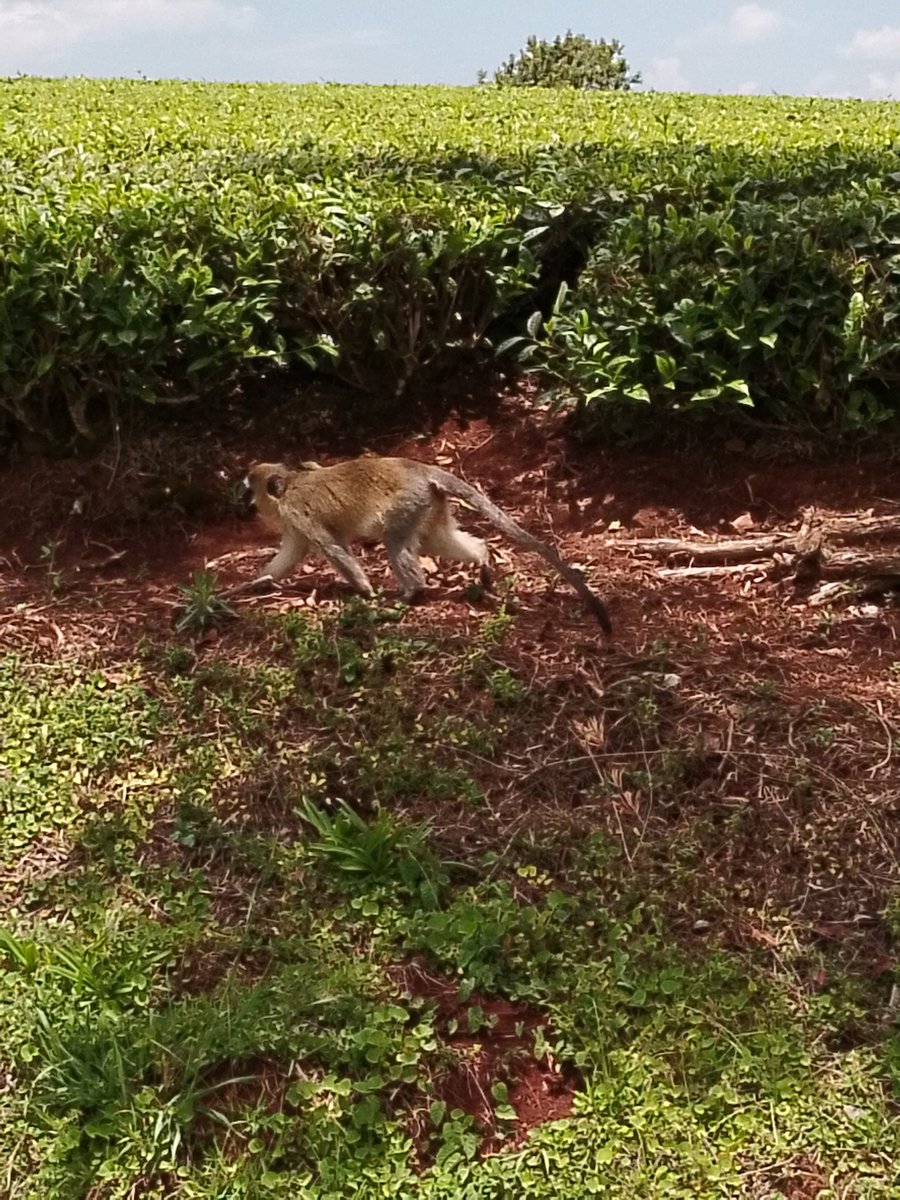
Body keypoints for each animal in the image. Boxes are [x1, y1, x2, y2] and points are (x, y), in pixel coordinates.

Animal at [235, 456, 612, 635]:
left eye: (247, 492)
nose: (242, 506)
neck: (290, 485)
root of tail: (419, 469)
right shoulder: (293, 523)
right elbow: (289, 555)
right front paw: (256, 583)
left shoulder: (299, 513)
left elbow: (334, 549)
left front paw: (364, 592)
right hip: (429, 503)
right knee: (436, 539)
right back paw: (482, 558)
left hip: (408, 502)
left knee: (395, 541)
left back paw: (412, 593)